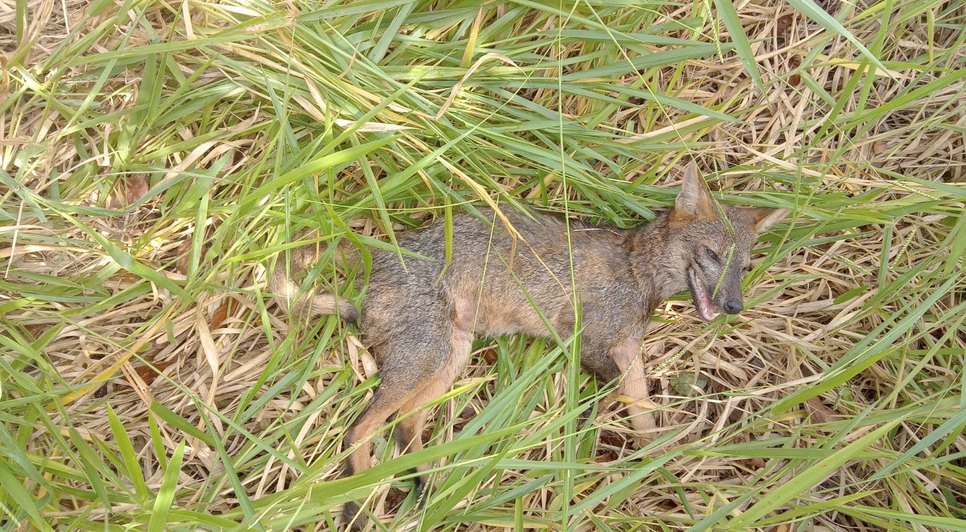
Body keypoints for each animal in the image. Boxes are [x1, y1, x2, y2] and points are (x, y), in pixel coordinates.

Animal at [271, 164, 787, 528]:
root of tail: (369, 278)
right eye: (713, 255)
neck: (638, 273)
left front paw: (661, 475)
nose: (735, 306)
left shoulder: (627, 353)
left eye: (743, 267)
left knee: (404, 425)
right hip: (427, 360)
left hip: (448, 360)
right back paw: (359, 509)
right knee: (359, 429)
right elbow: (611, 395)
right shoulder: (586, 342)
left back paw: (427, 488)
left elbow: (645, 423)